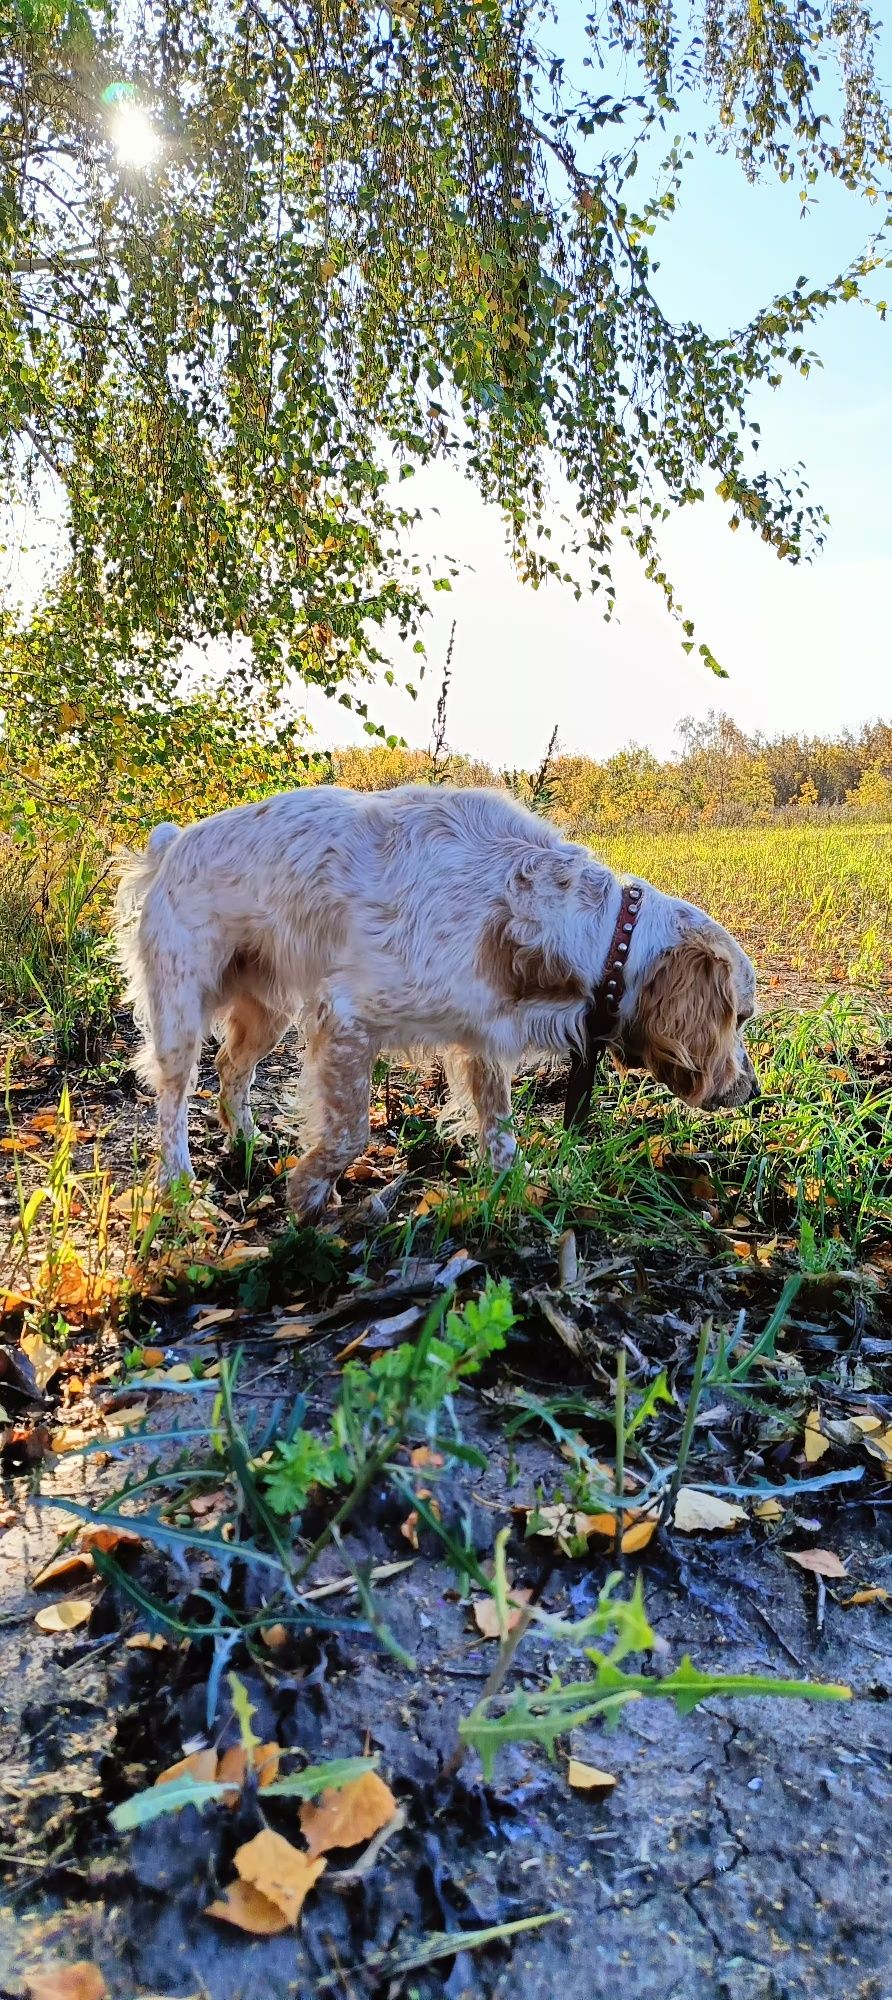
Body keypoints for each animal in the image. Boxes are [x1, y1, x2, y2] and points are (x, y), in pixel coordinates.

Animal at [116, 784, 760, 1216]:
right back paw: (178, 1184)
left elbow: (499, 1126)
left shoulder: (482, 1038)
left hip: (266, 1011)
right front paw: (308, 1196)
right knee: (172, 1100)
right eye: (740, 1016)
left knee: (231, 1069)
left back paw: (247, 1143)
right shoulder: (346, 1018)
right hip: (180, 1011)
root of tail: (173, 842)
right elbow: (350, 1131)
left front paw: (517, 1185)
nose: (752, 1091)